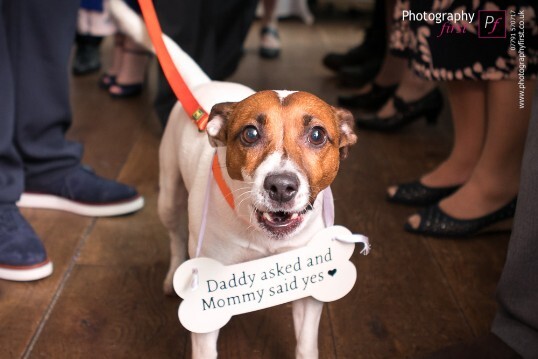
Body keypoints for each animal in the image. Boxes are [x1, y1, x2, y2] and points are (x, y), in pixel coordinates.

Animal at [109, 1, 356, 358]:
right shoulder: (208, 303)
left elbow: (306, 343)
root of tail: (204, 84)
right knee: (175, 236)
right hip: (169, 196)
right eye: (250, 133)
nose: (281, 186)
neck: (265, 239)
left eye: (318, 135)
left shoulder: (309, 287)